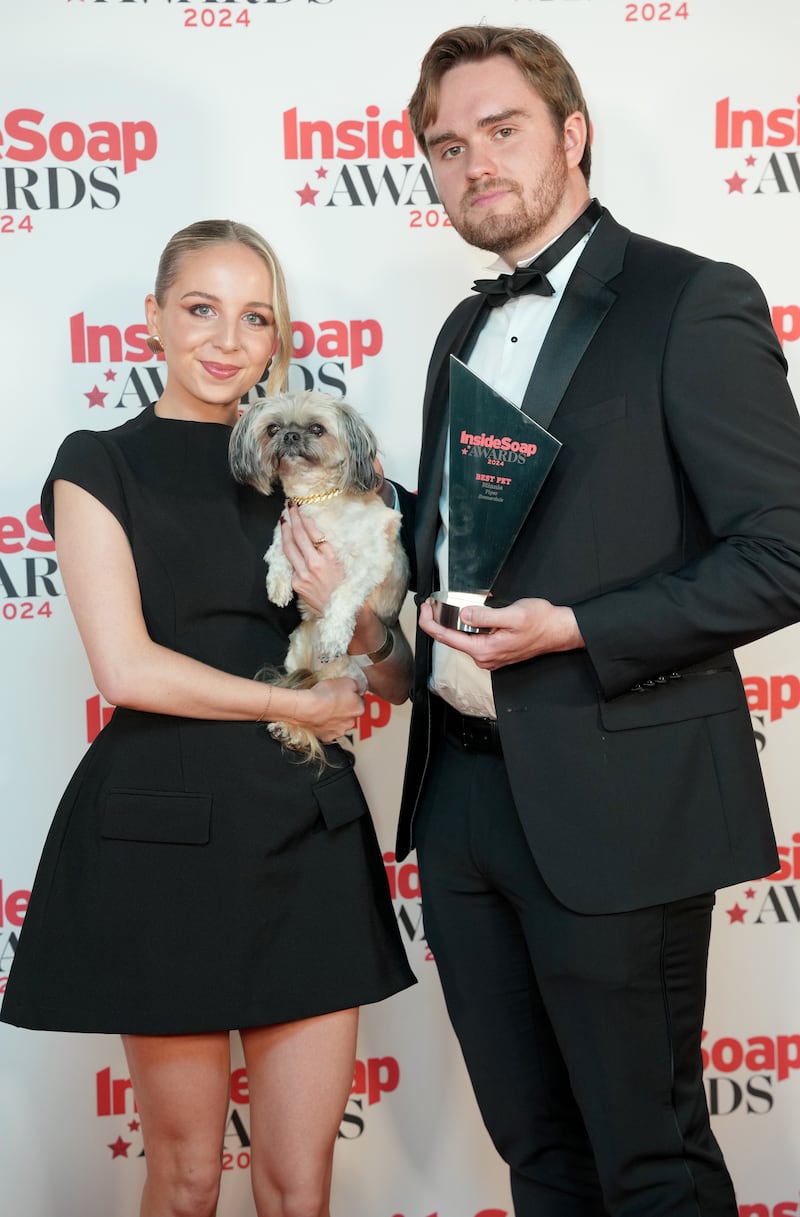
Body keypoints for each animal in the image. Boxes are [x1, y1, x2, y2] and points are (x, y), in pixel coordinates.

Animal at [227, 394, 409, 764]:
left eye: (316, 428)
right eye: (273, 429)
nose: (290, 436)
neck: (317, 500)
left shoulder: (371, 560)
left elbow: (344, 594)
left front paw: (334, 633)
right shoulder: (286, 524)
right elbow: (276, 550)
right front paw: (278, 584)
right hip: (297, 650)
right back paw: (291, 728)